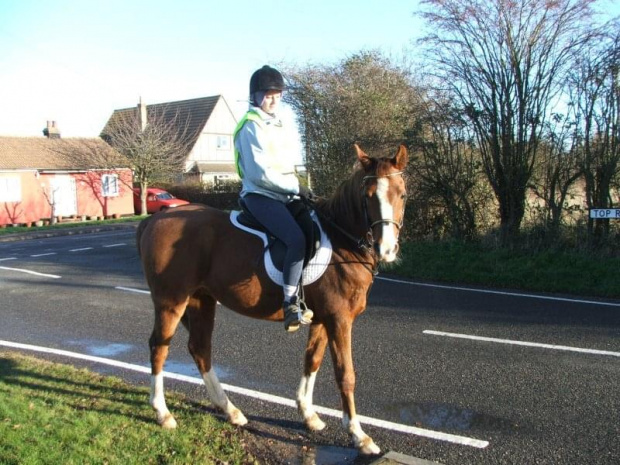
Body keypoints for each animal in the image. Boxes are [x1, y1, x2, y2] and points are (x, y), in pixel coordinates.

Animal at [137, 142, 406, 454]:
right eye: (368, 195)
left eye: (402, 194)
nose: (386, 249)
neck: (342, 242)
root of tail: (153, 220)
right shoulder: (339, 320)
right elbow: (345, 374)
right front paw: (358, 435)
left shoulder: (322, 319)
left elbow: (312, 360)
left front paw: (309, 415)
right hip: (171, 301)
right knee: (159, 347)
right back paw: (163, 413)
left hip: (201, 301)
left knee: (200, 348)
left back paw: (230, 410)